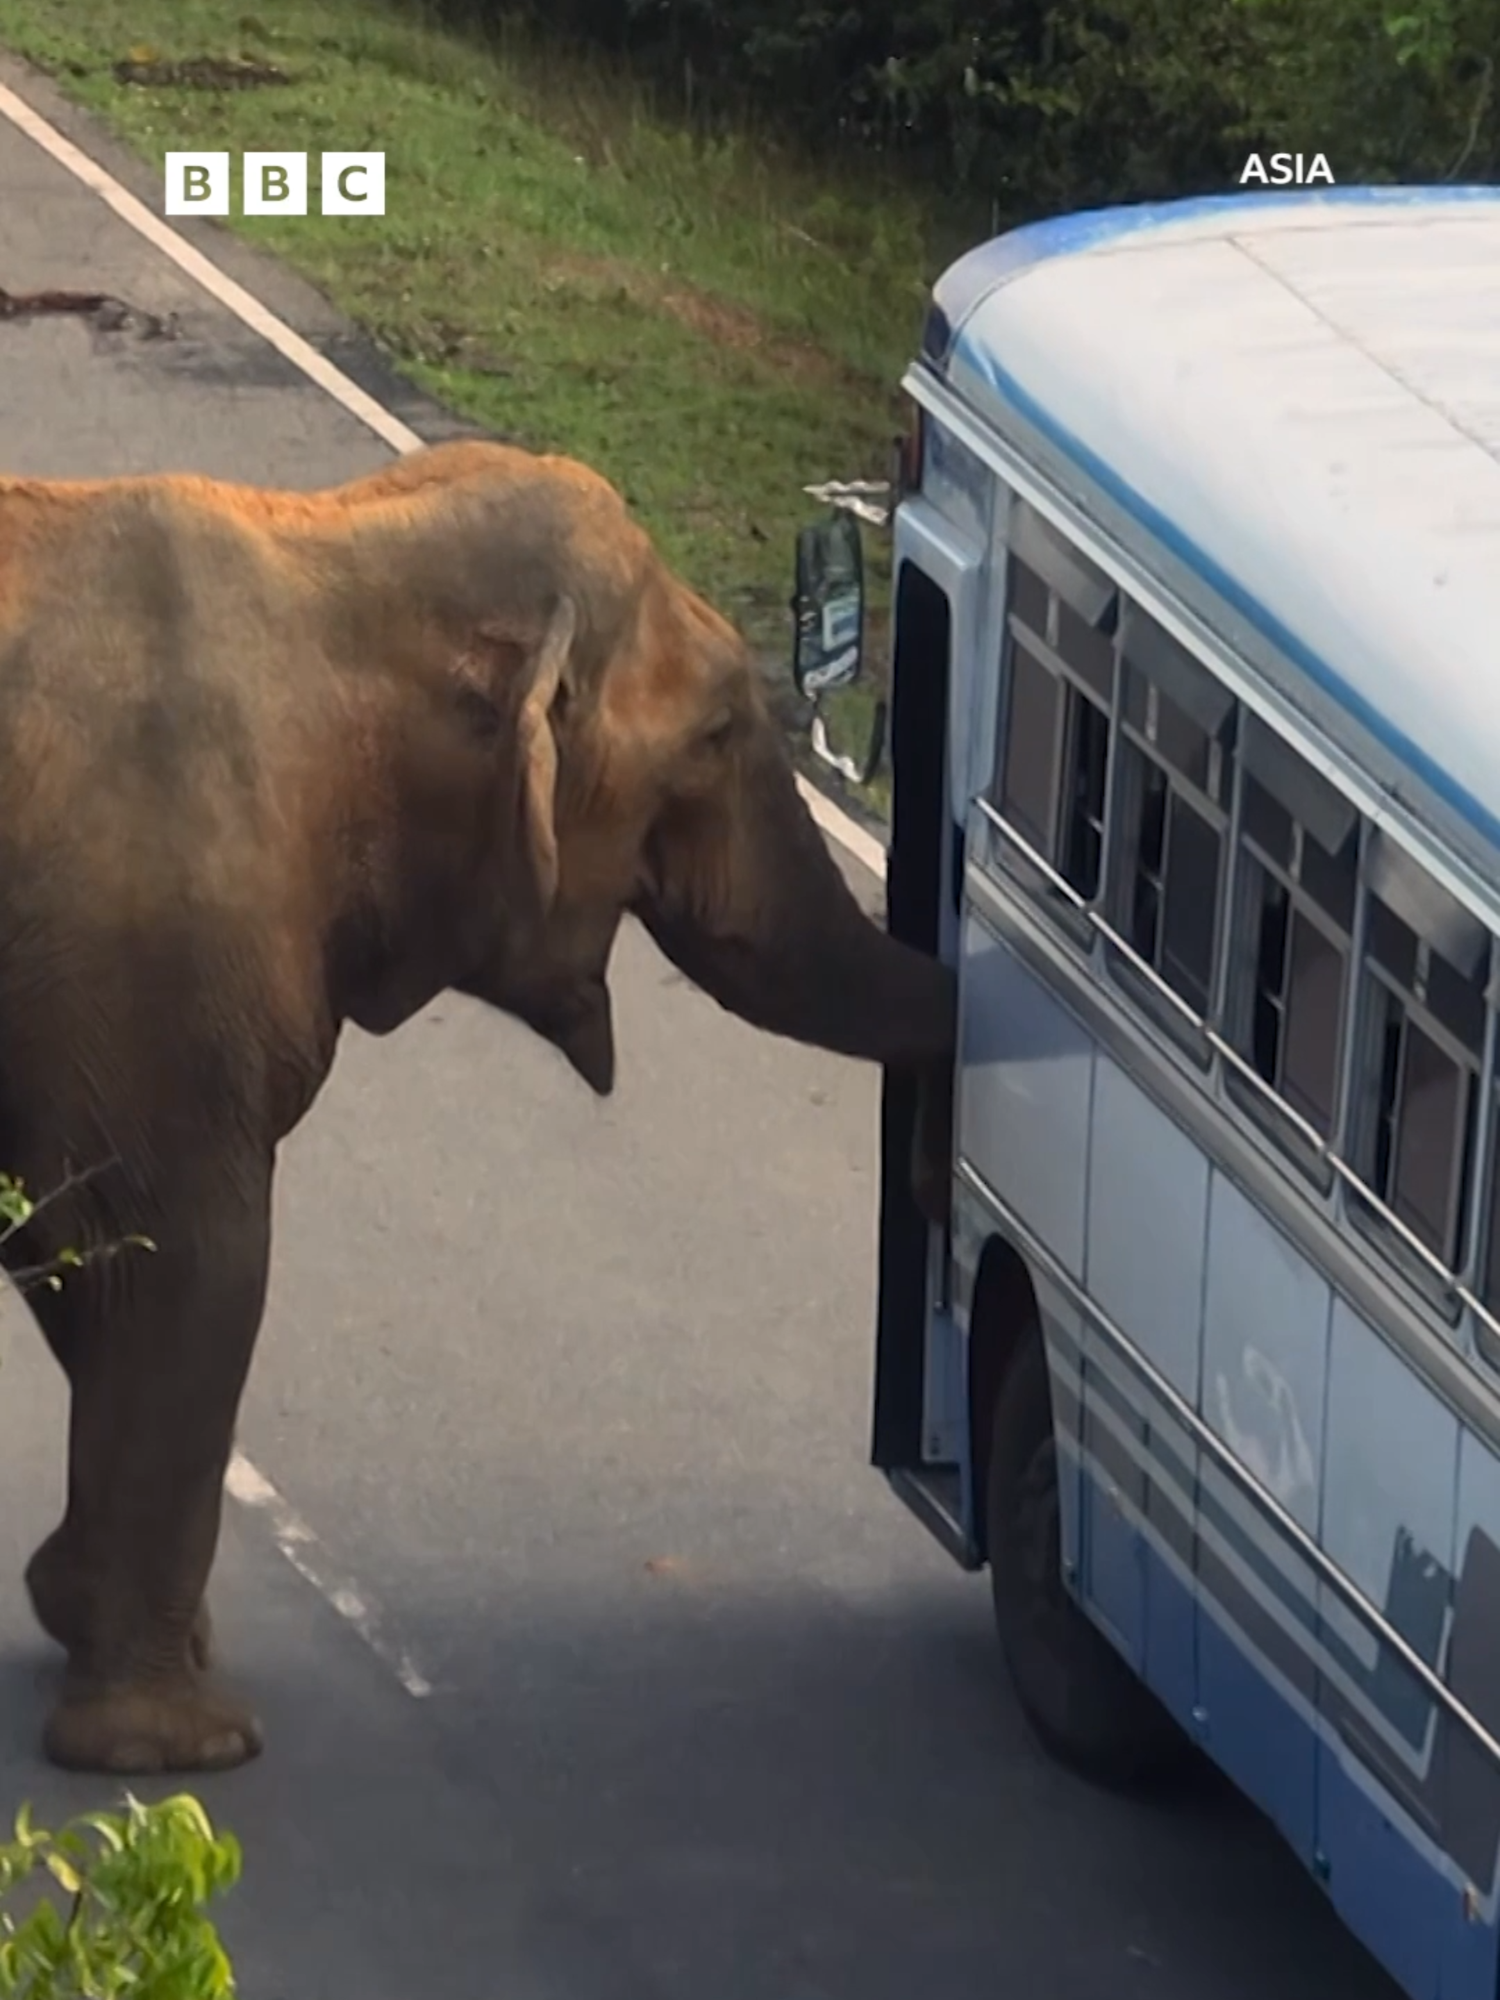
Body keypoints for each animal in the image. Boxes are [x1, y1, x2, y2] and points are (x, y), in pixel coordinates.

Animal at [0, 442, 964, 1784]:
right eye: (719, 732)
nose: (944, 1175)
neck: (337, 552)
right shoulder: (158, 940)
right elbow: (187, 1262)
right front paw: (184, 1748)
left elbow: (85, 1260)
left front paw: (92, 1617)